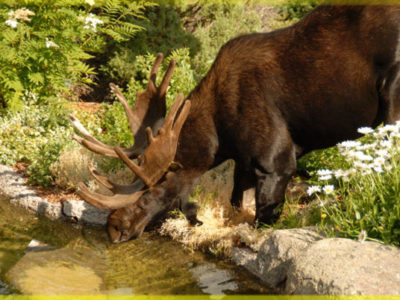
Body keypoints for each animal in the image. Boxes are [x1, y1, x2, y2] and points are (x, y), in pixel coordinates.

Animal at [70, 5, 398, 244]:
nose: (113, 228)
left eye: (152, 188)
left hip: (392, 98)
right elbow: (237, 203)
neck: (219, 140)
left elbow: (262, 218)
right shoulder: (245, 163)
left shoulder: (277, 162)